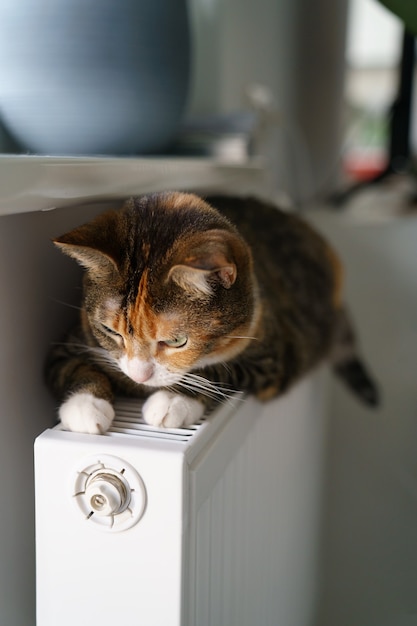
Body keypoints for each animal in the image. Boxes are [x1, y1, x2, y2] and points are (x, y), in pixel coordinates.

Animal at [47, 193, 378, 432]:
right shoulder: (73, 340)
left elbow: (219, 370)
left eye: (177, 341)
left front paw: (172, 400)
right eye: (110, 331)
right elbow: (72, 367)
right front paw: (84, 407)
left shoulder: (273, 357)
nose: (139, 376)